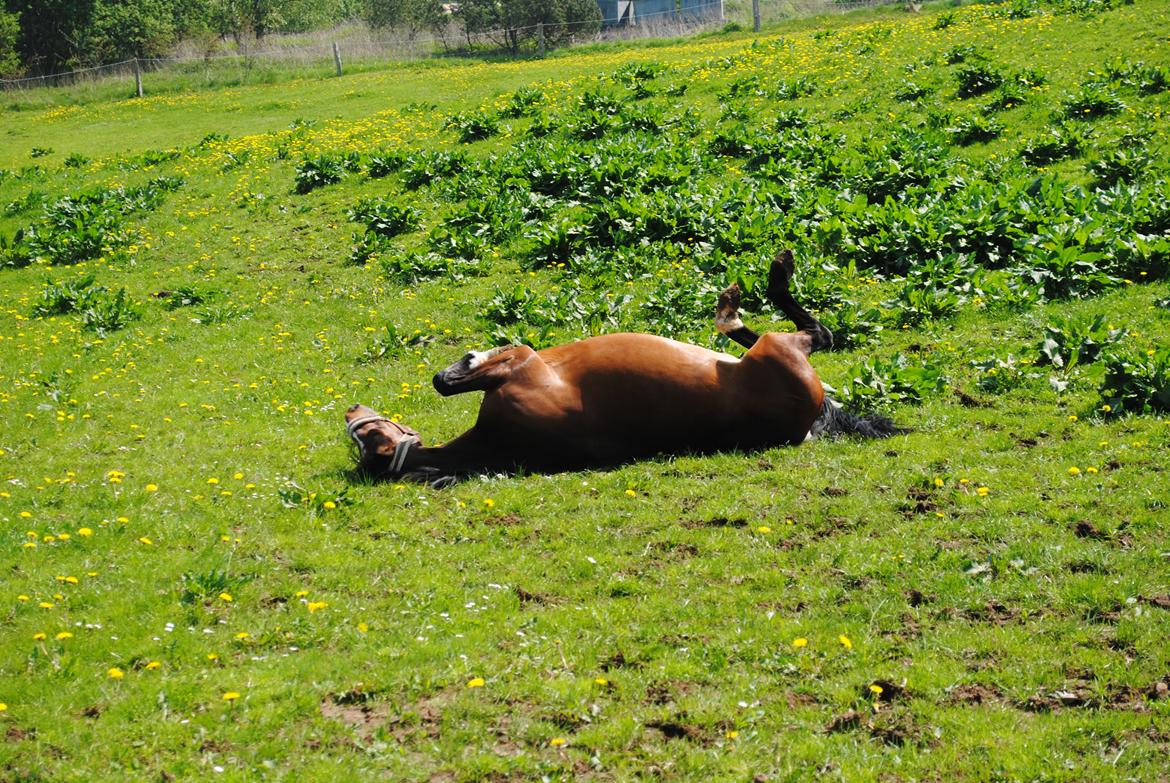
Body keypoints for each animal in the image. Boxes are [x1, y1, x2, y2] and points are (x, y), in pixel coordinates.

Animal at [341, 250, 898, 482]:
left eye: (365, 434)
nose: (351, 412)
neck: (503, 439)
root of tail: (813, 418)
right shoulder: (523, 362)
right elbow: (458, 378)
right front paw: (462, 366)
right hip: (779, 351)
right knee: (812, 333)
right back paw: (755, 286)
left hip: (769, 352)